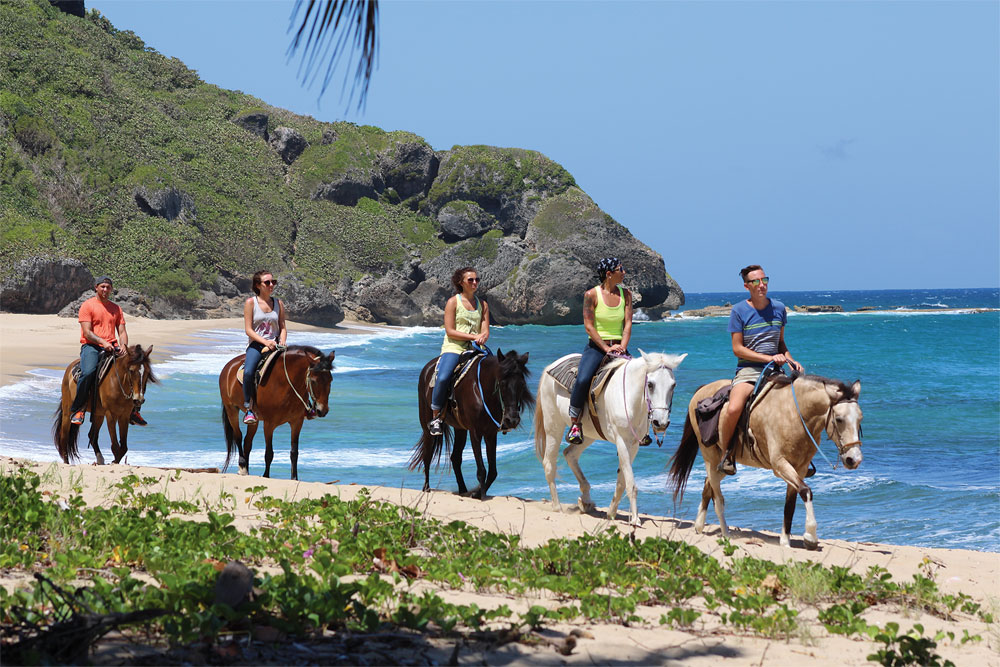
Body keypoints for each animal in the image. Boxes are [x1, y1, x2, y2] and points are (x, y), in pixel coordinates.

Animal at [218, 344, 334, 480]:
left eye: (330, 380)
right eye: (314, 380)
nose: (322, 410)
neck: (285, 383)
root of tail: (228, 366)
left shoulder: (297, 422)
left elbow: (294, 453)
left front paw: (294, 478)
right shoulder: (269, 424)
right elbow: (269, 453)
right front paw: (266, 476)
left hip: (254, 420)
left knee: (247, 442)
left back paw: (246, 469)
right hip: (231, 409)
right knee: (238, 436)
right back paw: (242, 467)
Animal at [408, 350, 536, 500]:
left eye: (522, 384)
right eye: (502, 383)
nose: (512, 420)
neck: (482, 391)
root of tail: (427, 367)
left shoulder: (490, 434)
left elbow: (493, 471)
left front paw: (476, 493)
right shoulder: (475, 432)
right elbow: (481, 469)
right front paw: (482, 496)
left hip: (460, 429)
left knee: (455, 458)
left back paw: (463, 490)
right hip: (426, 424)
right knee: (427, 454)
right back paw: (426, 487)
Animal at [532, 350, 688, 528]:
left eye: (673, 385)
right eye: (650, 384)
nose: (660, 423)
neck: (630, 397)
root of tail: (550, 366)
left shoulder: (634, 445)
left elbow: (622, 481)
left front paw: (611, 512)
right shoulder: (622, 441)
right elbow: (630, 483)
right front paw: (635, 519)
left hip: (588, 434)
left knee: (570, 454)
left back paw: (585, 501)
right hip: (553, 426)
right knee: (549, 463)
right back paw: (557, 507)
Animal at [668, 374, 864, 552]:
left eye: (860, 418)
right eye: (839, 419)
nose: (854, 459)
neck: (795, 414)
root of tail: (701, 391)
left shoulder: (799, 469)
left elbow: (790, 505)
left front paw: (785, 542)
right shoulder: (780, 465)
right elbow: (806, 491)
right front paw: (810, 537)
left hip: (720, 466)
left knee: (707, 484)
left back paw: (699, 525)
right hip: (711, 457)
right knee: (718, 498)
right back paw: (725, 533)